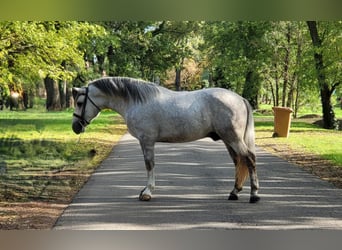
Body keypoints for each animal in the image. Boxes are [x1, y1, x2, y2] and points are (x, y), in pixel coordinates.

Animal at [71, 77, 260, 203]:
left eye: (79, 102)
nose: (75, 127)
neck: (136, 102)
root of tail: (240, 98)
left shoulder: (146, 141)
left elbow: (149, 165)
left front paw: (147, 192)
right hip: (228, 140)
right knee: (239, 161)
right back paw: (234, 192)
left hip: (233, 138)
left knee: (249, 158)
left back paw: (254, 195)